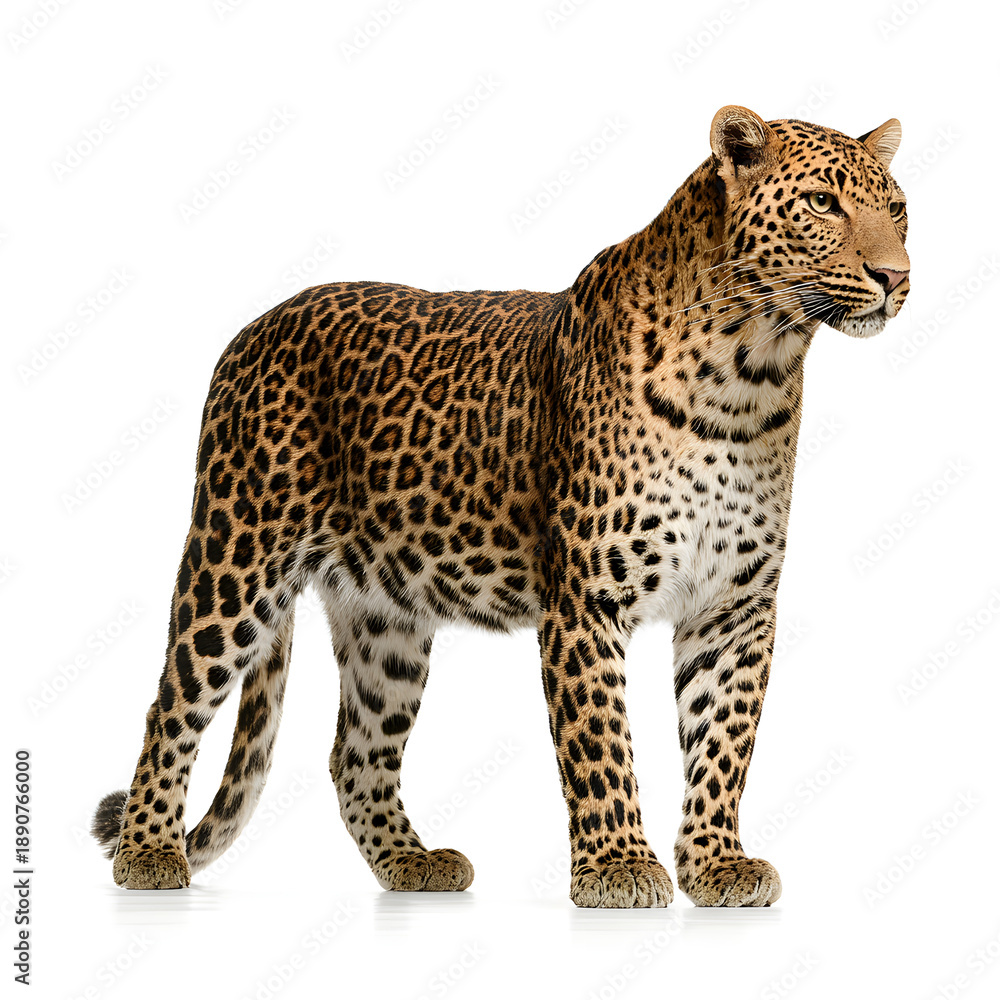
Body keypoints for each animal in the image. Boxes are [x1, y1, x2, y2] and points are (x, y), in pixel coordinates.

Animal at [92, 106, 909, 907]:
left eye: (897, 209)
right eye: (823, 203)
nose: (896, 275)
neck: (750, 372)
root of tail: (254, 326)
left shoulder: (734, 606)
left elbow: (723, 740)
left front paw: (715, 863)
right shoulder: (586, 599)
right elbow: (600, 741)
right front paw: (618, 866)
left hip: (385, 617)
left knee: (355, 752)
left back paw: (412, 863)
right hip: (235, 560)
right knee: (172, 705)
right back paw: (147, 851)